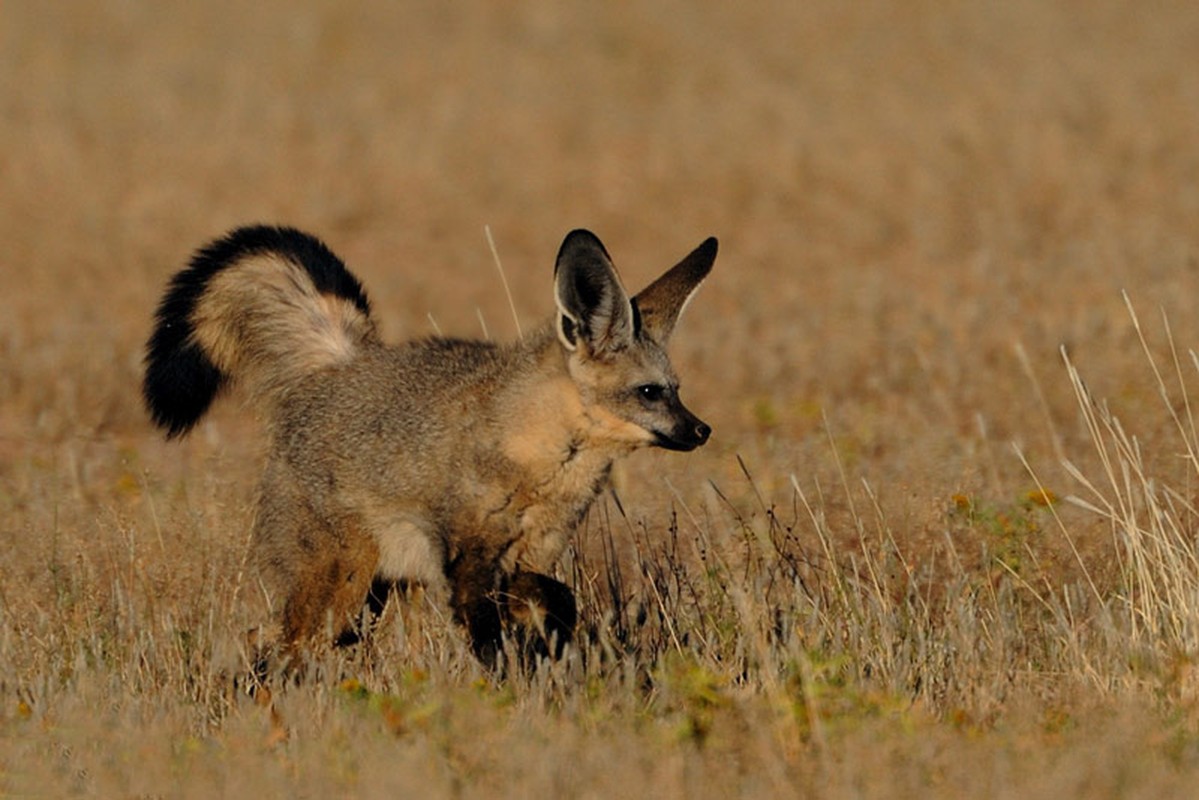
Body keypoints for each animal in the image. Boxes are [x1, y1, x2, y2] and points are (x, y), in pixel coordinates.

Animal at [145, 226, 714, 671]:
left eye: (678, 389)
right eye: (650, 392)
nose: (702, 431)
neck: (542, 466)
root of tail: (338, 366)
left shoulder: (523, 561)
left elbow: (560, 600)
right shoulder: (466, 566)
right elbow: (491, 646)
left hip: (364, 601)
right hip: (337, 595)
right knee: (266, 651)